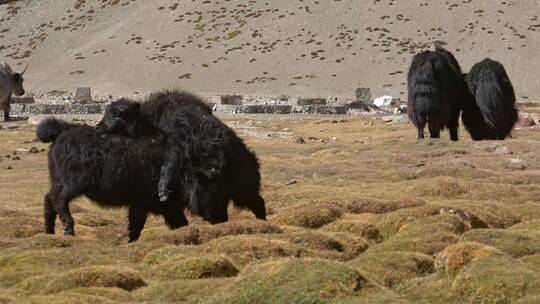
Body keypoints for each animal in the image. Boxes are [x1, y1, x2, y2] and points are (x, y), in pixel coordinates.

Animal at [35, 117, 188, 241]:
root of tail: (63, 130)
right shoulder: (142, 201)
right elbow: (137, 223)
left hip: (58, 179)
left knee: (48, 198)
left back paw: (49, 232)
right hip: (73, 183)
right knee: (58, 199)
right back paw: (68, 229)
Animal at [96, 90, 266, 223]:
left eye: (118, 114)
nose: (98, 127)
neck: (151, 120)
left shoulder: (174, 147)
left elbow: (167, 166)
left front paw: (163, 193)